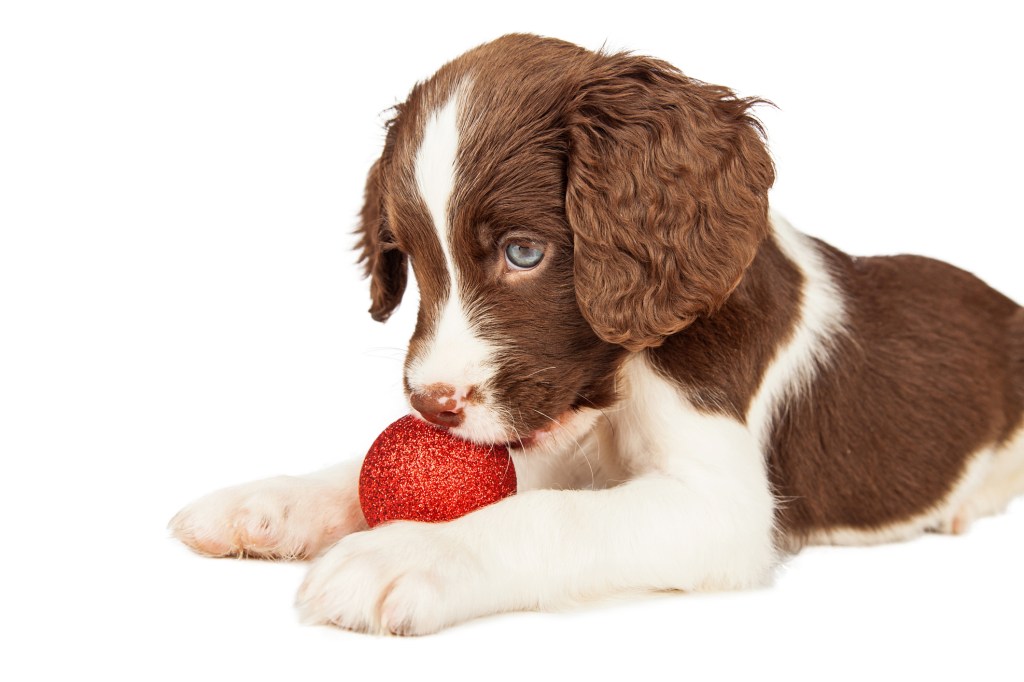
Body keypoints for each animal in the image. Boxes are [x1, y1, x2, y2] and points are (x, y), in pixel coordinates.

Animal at [172, 34, 1024, 634]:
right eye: (409, 258)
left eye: (524, 253)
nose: (431, 405)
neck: (629, 376)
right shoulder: (551, 432)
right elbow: (372, 474)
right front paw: (271, 504)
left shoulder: (719, 508)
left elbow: (549, 516)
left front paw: (404, 552)